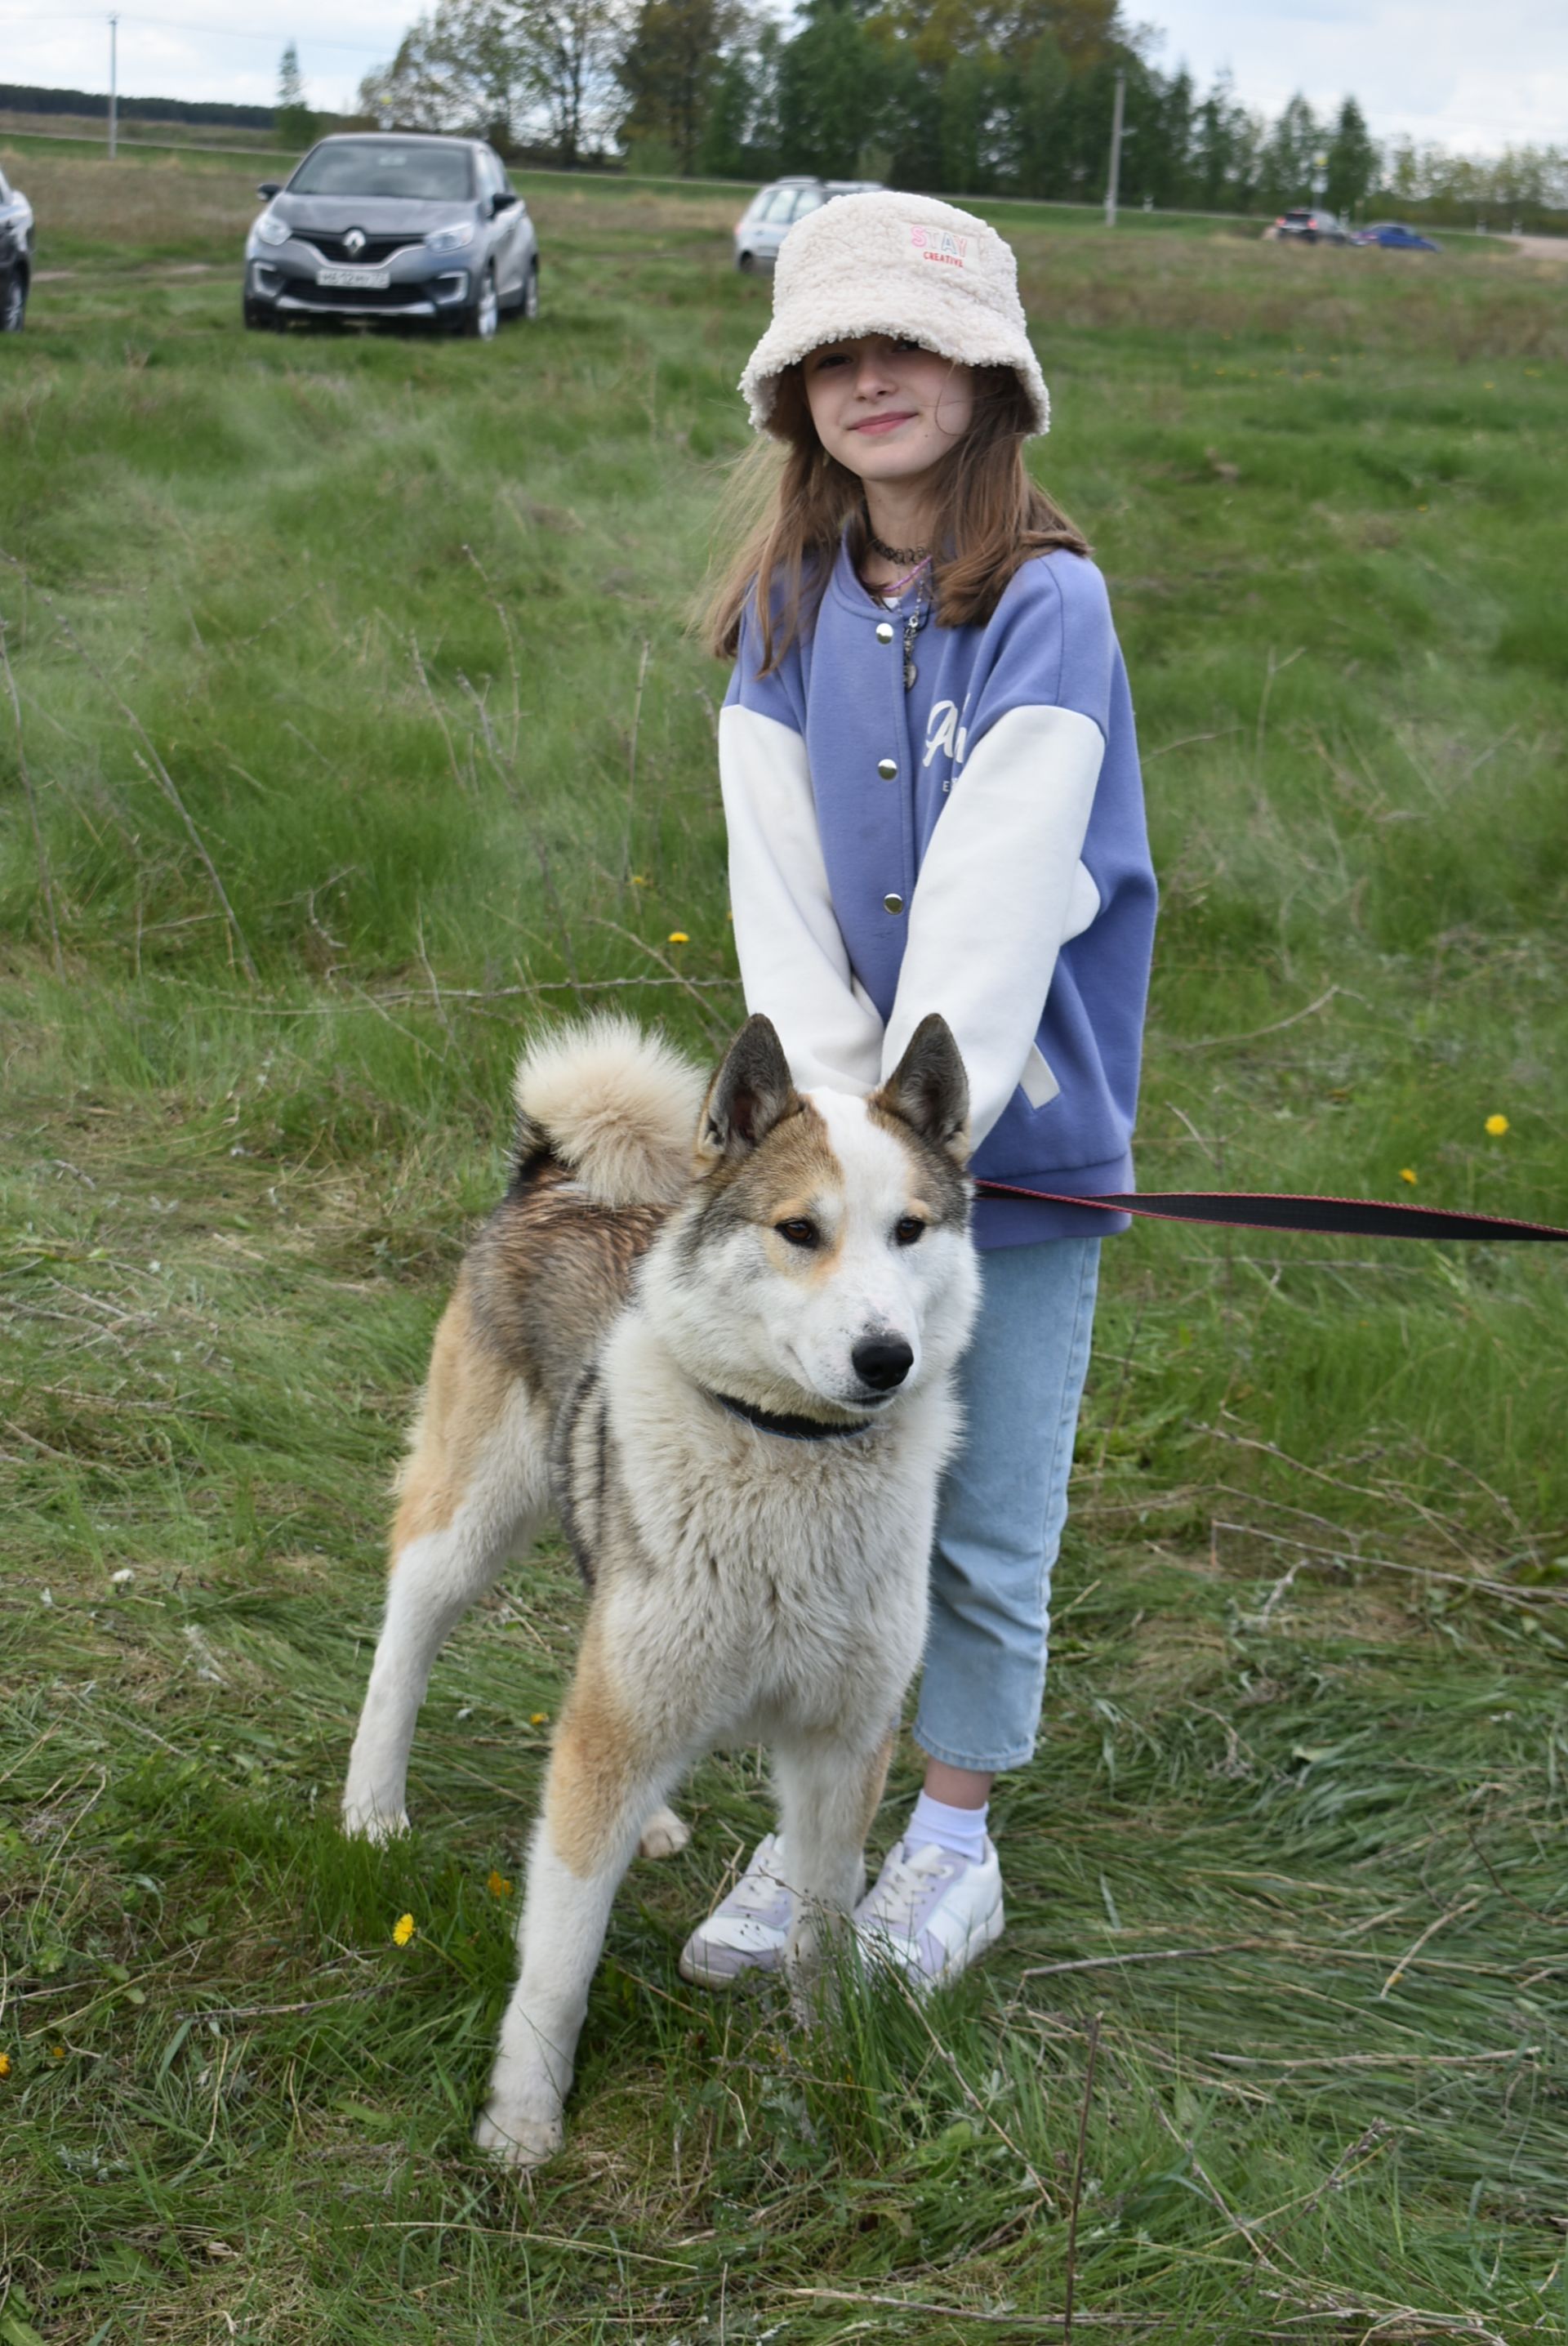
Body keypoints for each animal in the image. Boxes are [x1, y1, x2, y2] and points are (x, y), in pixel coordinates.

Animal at [342, 1008, 979, 2158]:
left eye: (910, 1230)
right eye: (799, 1230)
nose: (886, 1358)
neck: (789, 1454)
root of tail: (554, 1176)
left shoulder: (841, 1751)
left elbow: (821, 1929)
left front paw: (827, 2064)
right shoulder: (619, 1729)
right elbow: (558, 1958)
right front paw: (522, 2121)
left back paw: (648, 1821)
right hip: (469, 1525)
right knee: (403, 1646)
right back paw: (371, 1810)